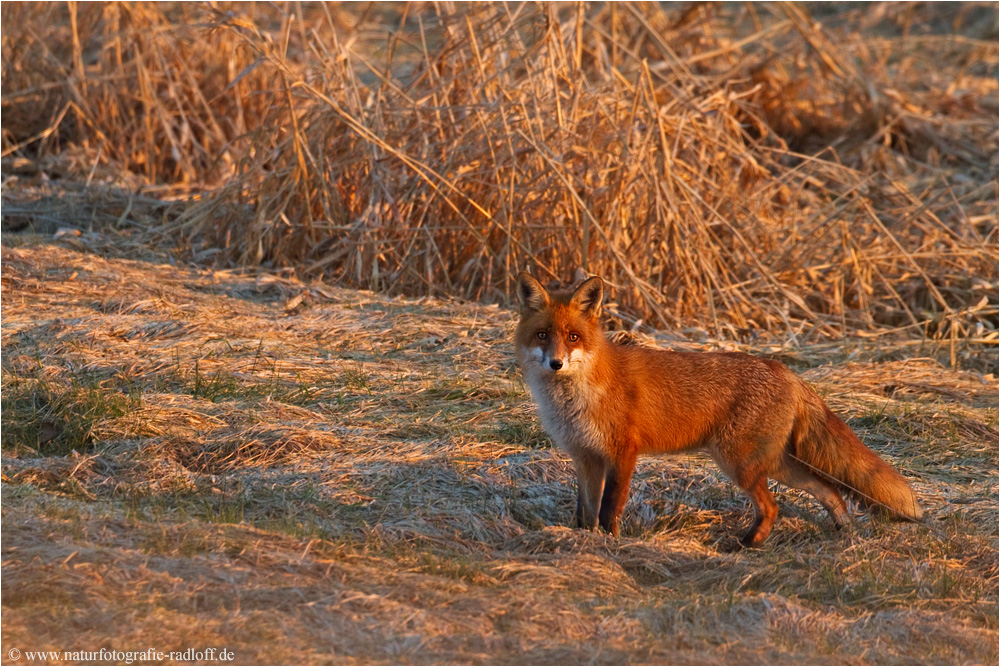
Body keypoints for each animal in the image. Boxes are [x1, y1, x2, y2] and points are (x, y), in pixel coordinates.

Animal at [516, 272, 920, 548]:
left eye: (573, 337)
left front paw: (611, 543)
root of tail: (784, 370)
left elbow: (609, 507)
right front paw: (581, 541)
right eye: (542, 335)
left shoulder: (622, 453)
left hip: (739, 463)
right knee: (829, 491)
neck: (578, 396)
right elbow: (585, 510)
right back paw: (843, 534)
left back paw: (746, 545)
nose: (556, 363)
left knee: (773, 507)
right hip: (774, 463)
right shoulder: (585, 456)